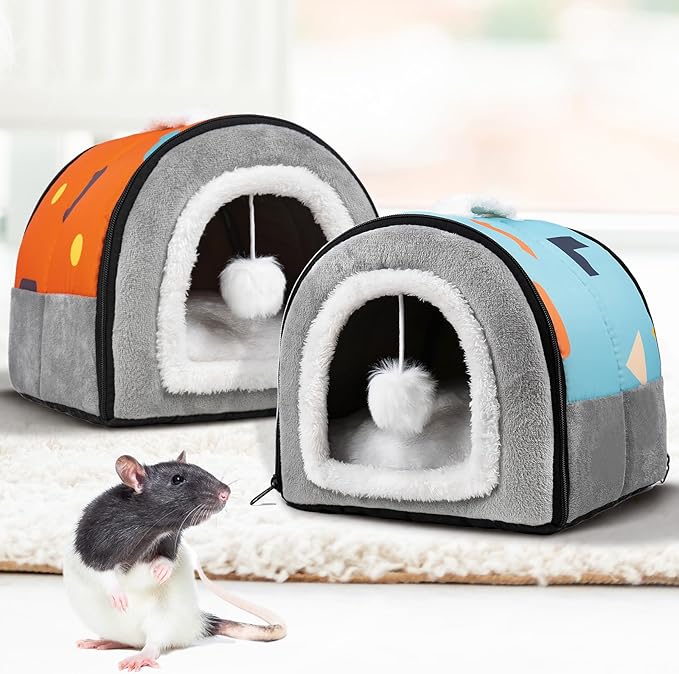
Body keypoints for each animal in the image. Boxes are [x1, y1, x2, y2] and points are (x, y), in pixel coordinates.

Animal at [63, 451, 286, 671]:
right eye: (177, 479)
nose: (226, 493)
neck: (151, 529)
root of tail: (198, 622)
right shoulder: (97, 541)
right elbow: (98, 570)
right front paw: (117, 593)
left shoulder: (170, 538)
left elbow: (168, 556)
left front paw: (162, 569)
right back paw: (108, 641)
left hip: (164, 619)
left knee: (155, 642)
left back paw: (142, 654)